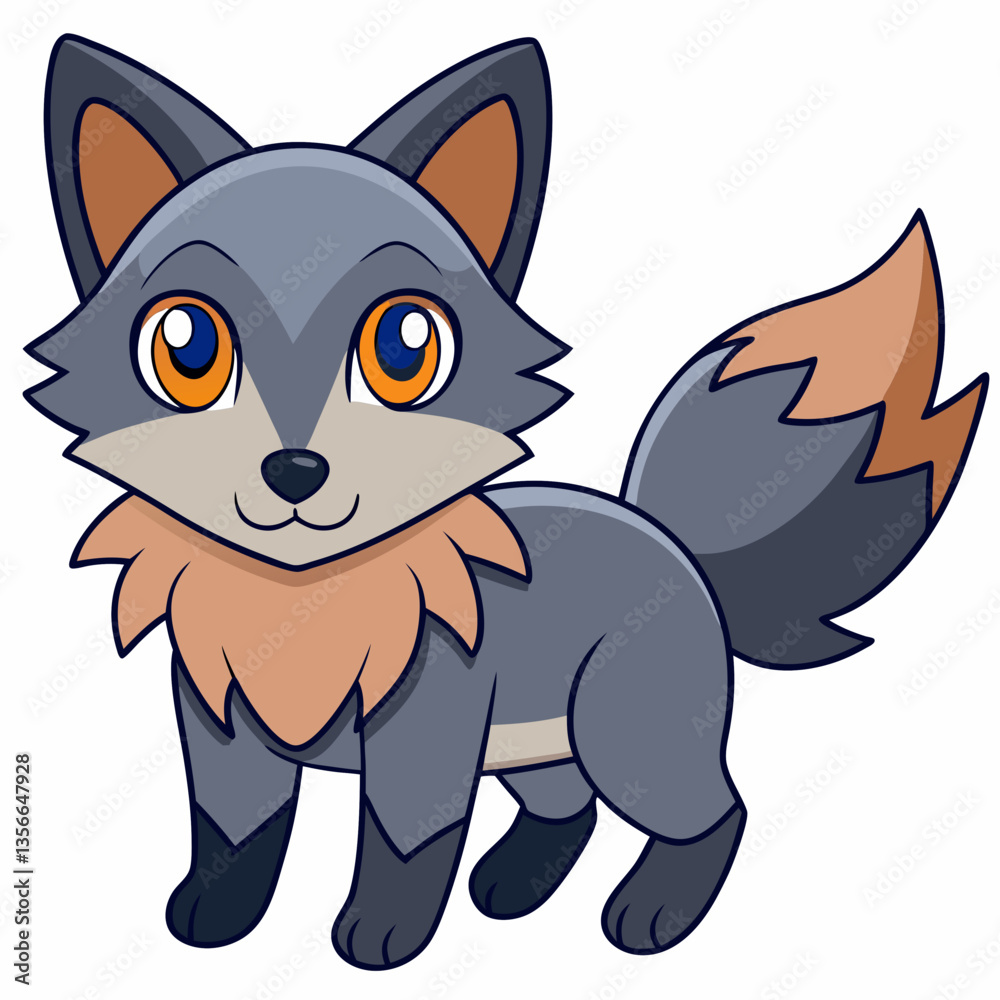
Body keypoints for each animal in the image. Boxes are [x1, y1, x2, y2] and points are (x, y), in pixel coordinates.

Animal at [26, 34, 987, 970]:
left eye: (404, 347)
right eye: (186, 348)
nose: (295, 469)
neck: (302, 605)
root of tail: (669, 539)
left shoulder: (428, 728)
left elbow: (407, 840)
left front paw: (384, 935)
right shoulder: (222, 728)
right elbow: (234, 832)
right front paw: (217, 917)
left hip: (624, 732)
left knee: (717, 810)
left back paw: (655, 915)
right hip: (538, 740)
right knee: (570, 807)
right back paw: (516, 885)